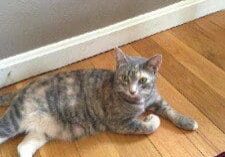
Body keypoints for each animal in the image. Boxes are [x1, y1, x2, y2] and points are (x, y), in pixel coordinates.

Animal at [0, 47, 197, 157]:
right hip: (14, 121)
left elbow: (170, 110)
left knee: (22, 147)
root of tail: (23, 88)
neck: (139, 100)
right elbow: (148, 126)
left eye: (142, 80)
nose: (132, 90)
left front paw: (187, 121)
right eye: (125, 78)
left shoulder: (156, 99)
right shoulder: (119, 123)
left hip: (41, 132)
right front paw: (150, 119)